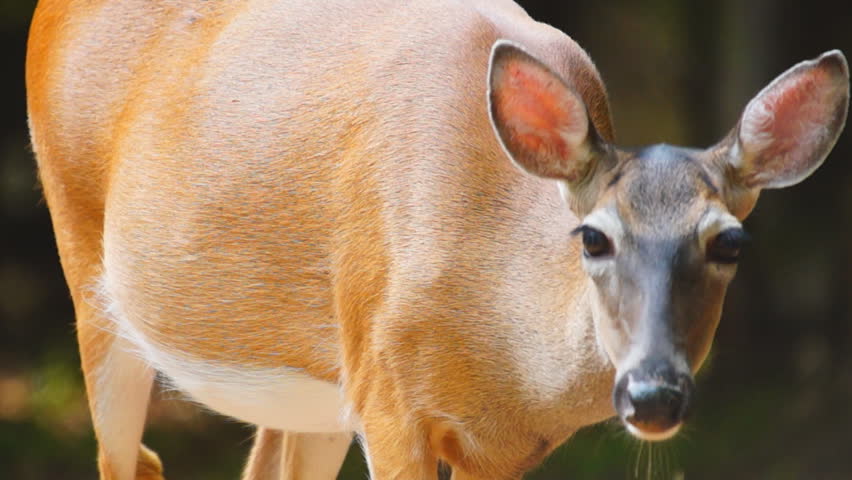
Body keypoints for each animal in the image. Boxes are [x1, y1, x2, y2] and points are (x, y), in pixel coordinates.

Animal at [25, 0, 848, 479]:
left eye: (729, 243)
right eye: (593, 238)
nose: (652, 393)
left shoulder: (504, 447)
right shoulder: (390, 402)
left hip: (308, 390)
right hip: (88, 274)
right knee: (130, 456)